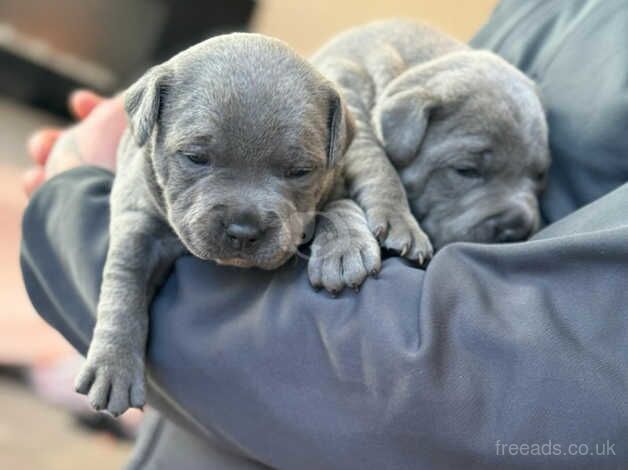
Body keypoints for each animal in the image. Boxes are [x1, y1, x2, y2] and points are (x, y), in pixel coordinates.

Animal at [314, 19, 548, 250]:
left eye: (540, 176)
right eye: (466, 171)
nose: (515, 230)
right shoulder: (346, 99)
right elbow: (374, 159)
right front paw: (400, 220)